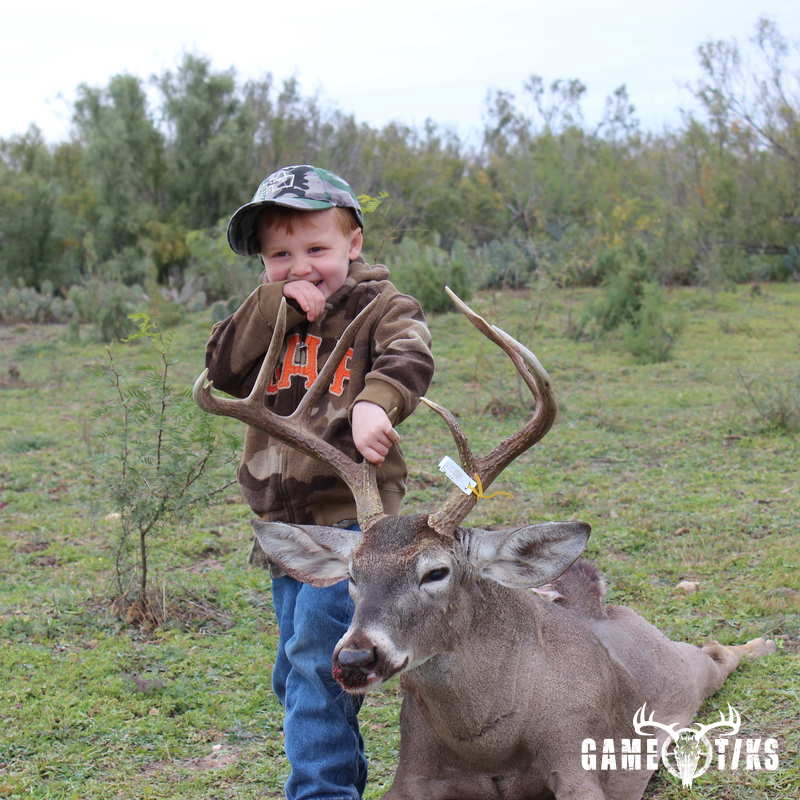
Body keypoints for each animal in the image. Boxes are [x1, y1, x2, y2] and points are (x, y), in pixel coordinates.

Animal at [194, 287, 775, 800]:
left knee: (714, 651)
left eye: (436, 572)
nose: (355, 657)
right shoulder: (411, 772)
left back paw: (764, 643)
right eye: (352, 576)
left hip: (677, 669)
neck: (488, 741)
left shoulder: (577, 761)